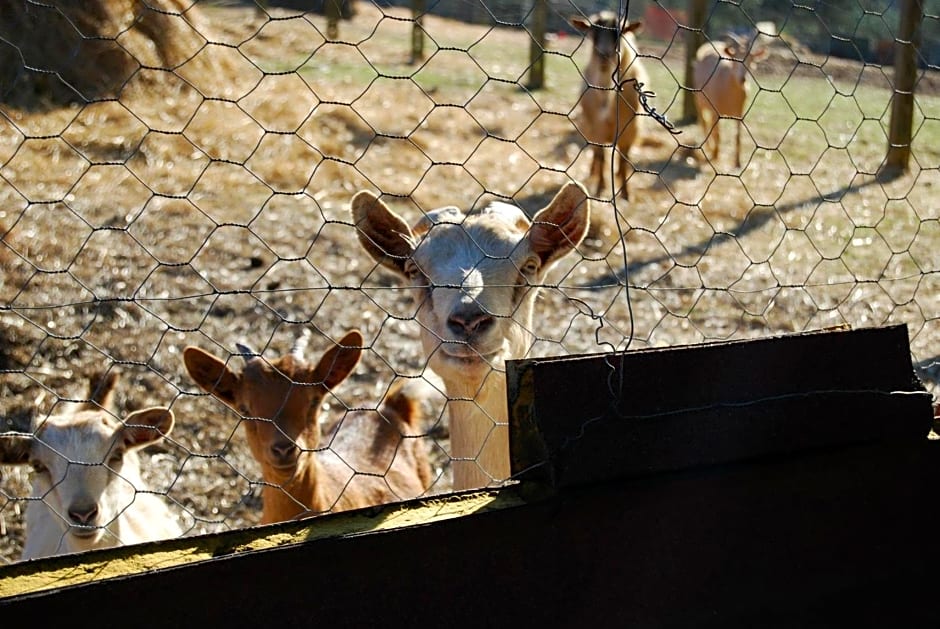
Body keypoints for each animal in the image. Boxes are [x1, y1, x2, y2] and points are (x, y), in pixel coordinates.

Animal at [568, 11, 648, 199]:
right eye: (593, 33)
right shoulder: (597, 131)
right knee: (596, 155)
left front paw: (626, 193)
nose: (604, 57)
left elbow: (623, 161)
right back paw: (593, 172)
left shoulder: (629, 132)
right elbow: (602, 158)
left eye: (619, 34)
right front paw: (600, 187)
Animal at [692, 34, 768, 167]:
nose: (743, 79)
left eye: (751, 61)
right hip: (699, 98)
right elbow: (717, 133)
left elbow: (738, 136)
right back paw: (709, 147)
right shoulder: (715, 109)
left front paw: (737, 162)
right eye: (735, 59)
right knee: (704, 122)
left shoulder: (740, 113)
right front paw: (715, 155)